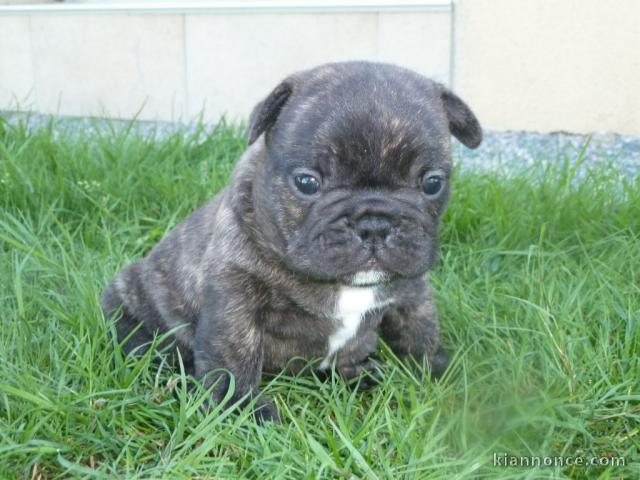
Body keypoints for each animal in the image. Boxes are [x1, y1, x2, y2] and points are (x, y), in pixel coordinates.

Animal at [101, 61, 480, 424]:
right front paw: (239, 409)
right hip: (128, 302)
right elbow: (234, 352)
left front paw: (442, 370)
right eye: (307, 182)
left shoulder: (412, 289)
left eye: (432, 183)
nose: (374, 224)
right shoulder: (235, 296)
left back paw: (361, 373)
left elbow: (420, 329)